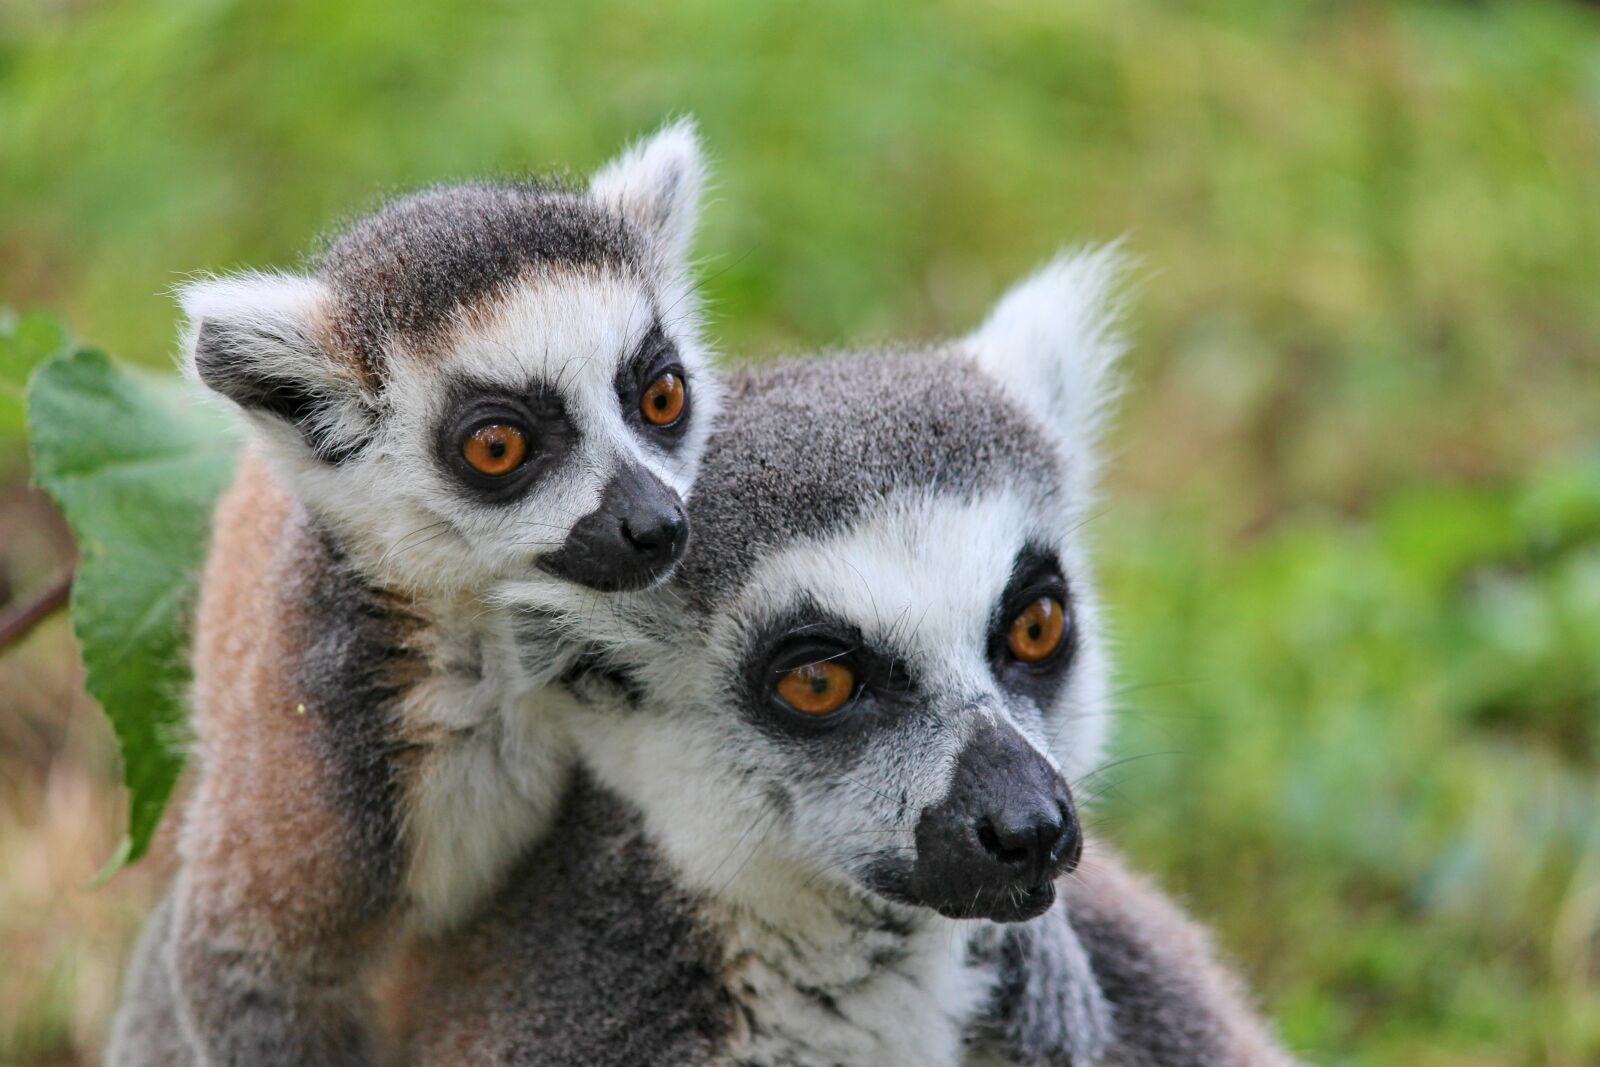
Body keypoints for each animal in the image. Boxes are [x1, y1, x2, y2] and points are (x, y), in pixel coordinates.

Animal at [104, 120, 724, 1067]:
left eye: (662, 395)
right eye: (498, 447)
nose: (655, 525)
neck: (493, 649)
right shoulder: (325, 740)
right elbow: (243, 964)